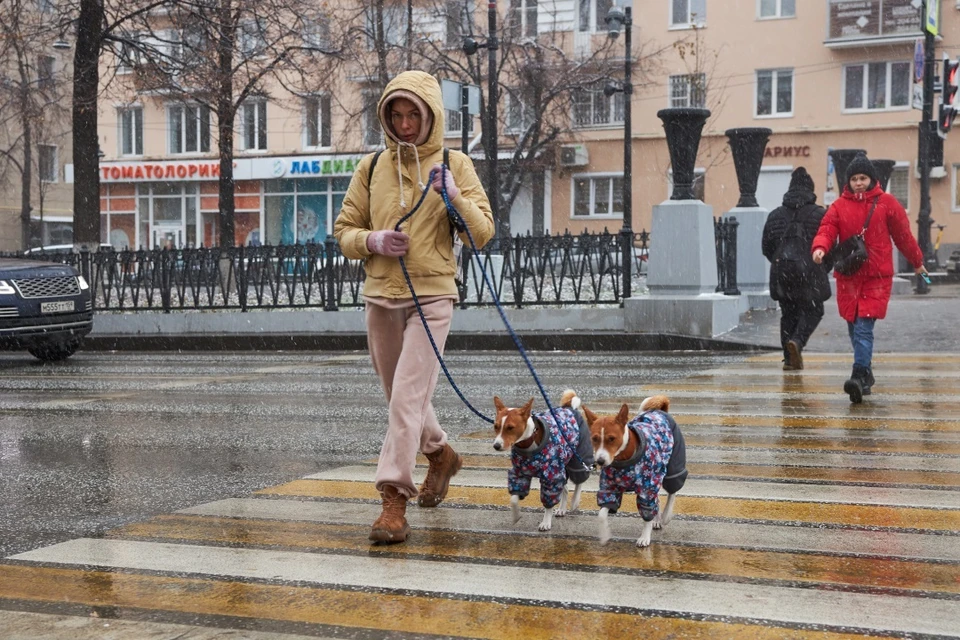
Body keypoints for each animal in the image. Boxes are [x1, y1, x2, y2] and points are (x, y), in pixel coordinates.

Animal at [496, 390, 592, 528]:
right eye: (496, 426)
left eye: (510, 427)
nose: (496, 445)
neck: (529, 444)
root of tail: (568, 408)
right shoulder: (520, 473)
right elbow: (514, 497)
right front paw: (515, 515)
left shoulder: (551, 476)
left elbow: (548, 503)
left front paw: (546, 522)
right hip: (562, 466)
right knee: (565, 488)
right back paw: (562, 509)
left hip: (577, 457)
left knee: (579, 481)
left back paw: (575, 501)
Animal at [580, 396, 688, 544]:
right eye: (594, 439)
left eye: (612, 438)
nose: (600, 461)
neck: (624, 461)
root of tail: (660, 411)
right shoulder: (609, 488)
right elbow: (602, 514)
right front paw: (605, 534)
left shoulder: (646, 489)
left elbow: (647, 514)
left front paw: (645, 537)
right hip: (656, 475)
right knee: (658, 499)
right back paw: (657, 520)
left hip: (673, 466)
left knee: (672, 491)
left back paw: (665, 515)